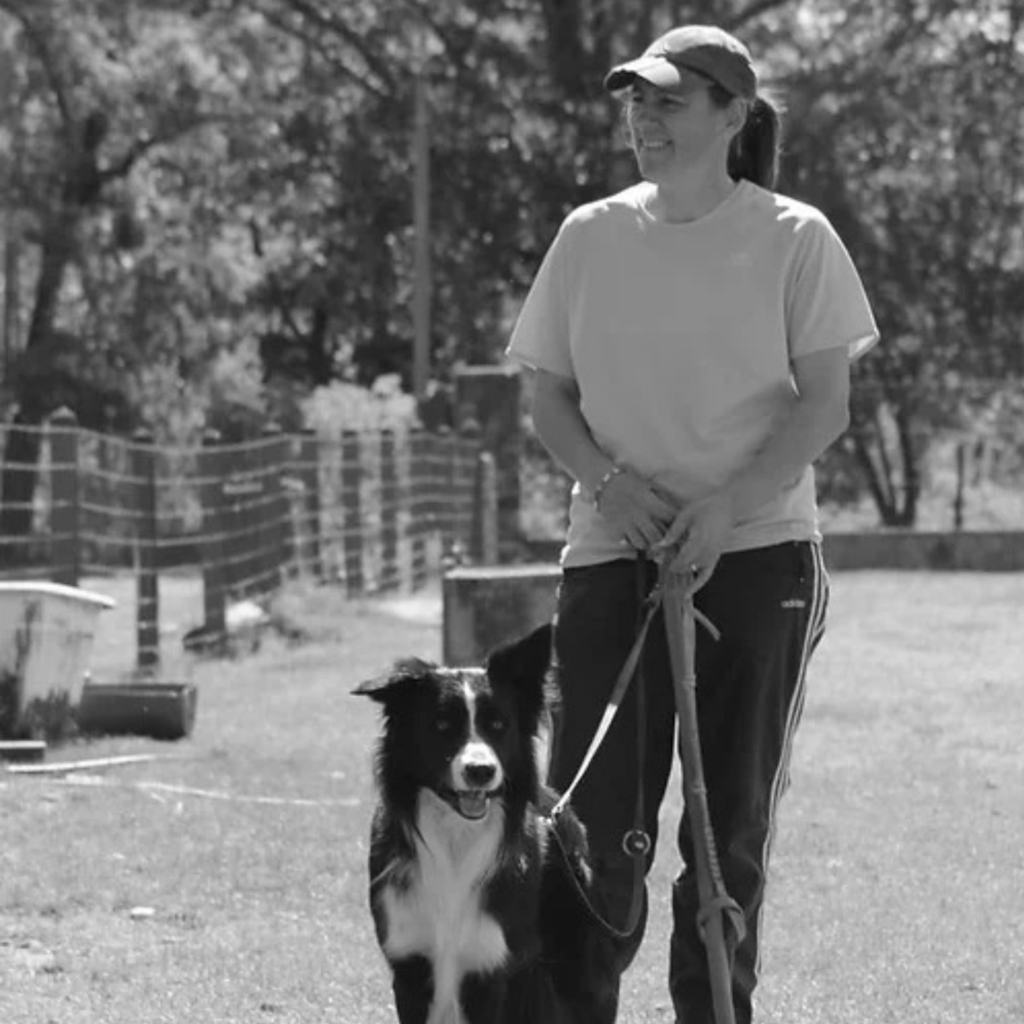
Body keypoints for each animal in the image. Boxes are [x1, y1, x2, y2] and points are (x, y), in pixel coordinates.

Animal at [356, 622, 610, 1024]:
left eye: (498, 725)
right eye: (442, 725)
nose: (481, 771)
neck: (455, 837)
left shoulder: (492, 970)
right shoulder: (410, 963)